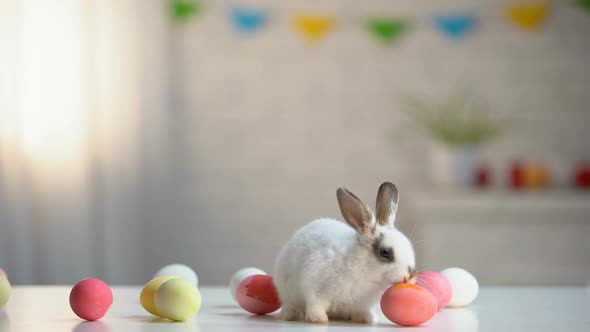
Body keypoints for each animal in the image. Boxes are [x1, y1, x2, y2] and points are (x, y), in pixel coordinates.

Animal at [276, 182, 418, 324]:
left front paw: (367, 319)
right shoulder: (314, 288)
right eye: (385, 253)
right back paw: (289, 315)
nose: (411, 275)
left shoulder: (361, 304)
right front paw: (319, 319)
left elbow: (360, 312)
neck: (367, 275)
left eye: (410, 246)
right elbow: (315, 305)